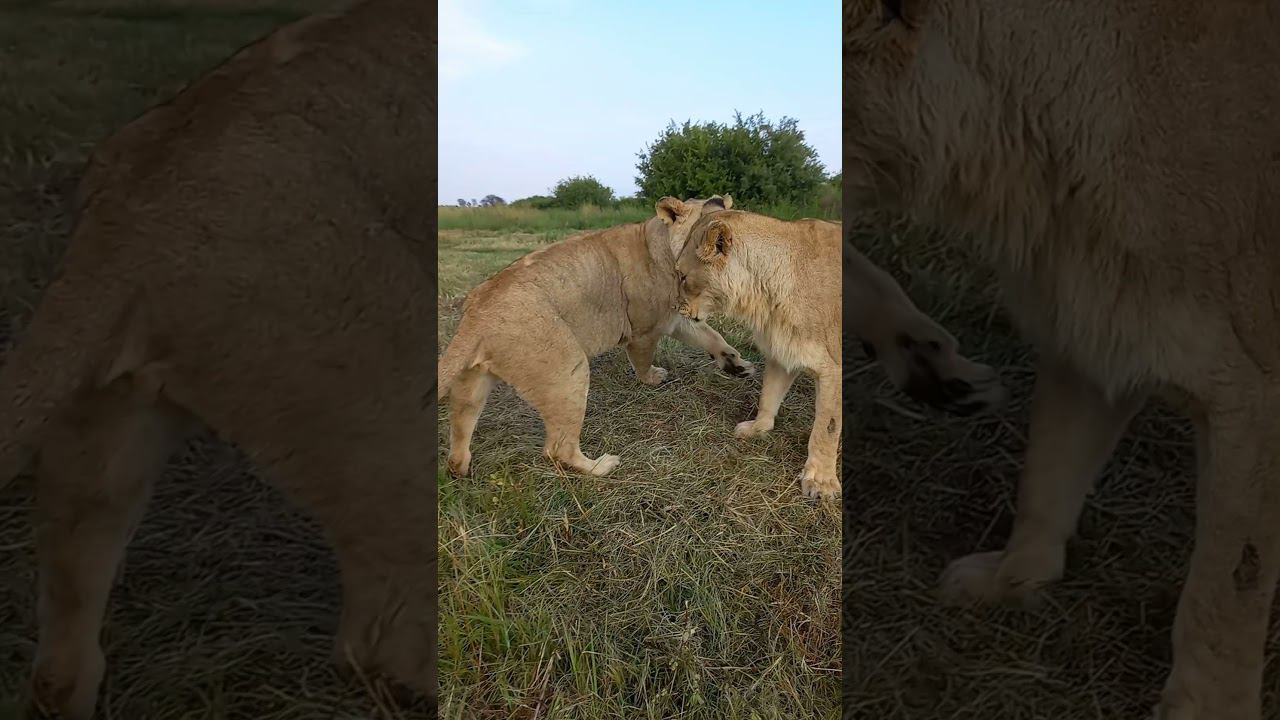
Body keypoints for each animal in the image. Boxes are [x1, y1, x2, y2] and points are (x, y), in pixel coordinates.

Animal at [437, 195, 754, 478]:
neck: (662, 244)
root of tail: (477, 315)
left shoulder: (674, 318)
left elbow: (712, 337)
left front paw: (736, 365)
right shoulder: (645, 329)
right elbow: (643, 360)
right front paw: (653, 378)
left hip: (473, 383)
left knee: (461, 429)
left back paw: (461, 468)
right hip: (568, 370)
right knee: (558, 449)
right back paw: (601, 466)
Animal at [674, 209, 1004, 499]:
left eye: (682, 277)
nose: (676, 308)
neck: (762, 295)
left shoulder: (833, 368)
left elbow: (827, 428)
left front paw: (820, 482)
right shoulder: (785, 352)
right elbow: (769, 395)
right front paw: (758, 428)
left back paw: (976, 388)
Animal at [847, 1, 1280, 717]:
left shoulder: (1255, 397)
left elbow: (1227, 589)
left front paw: (1204, 707)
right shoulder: (1098, 323)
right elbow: (1048, 470)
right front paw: (1012, 579)